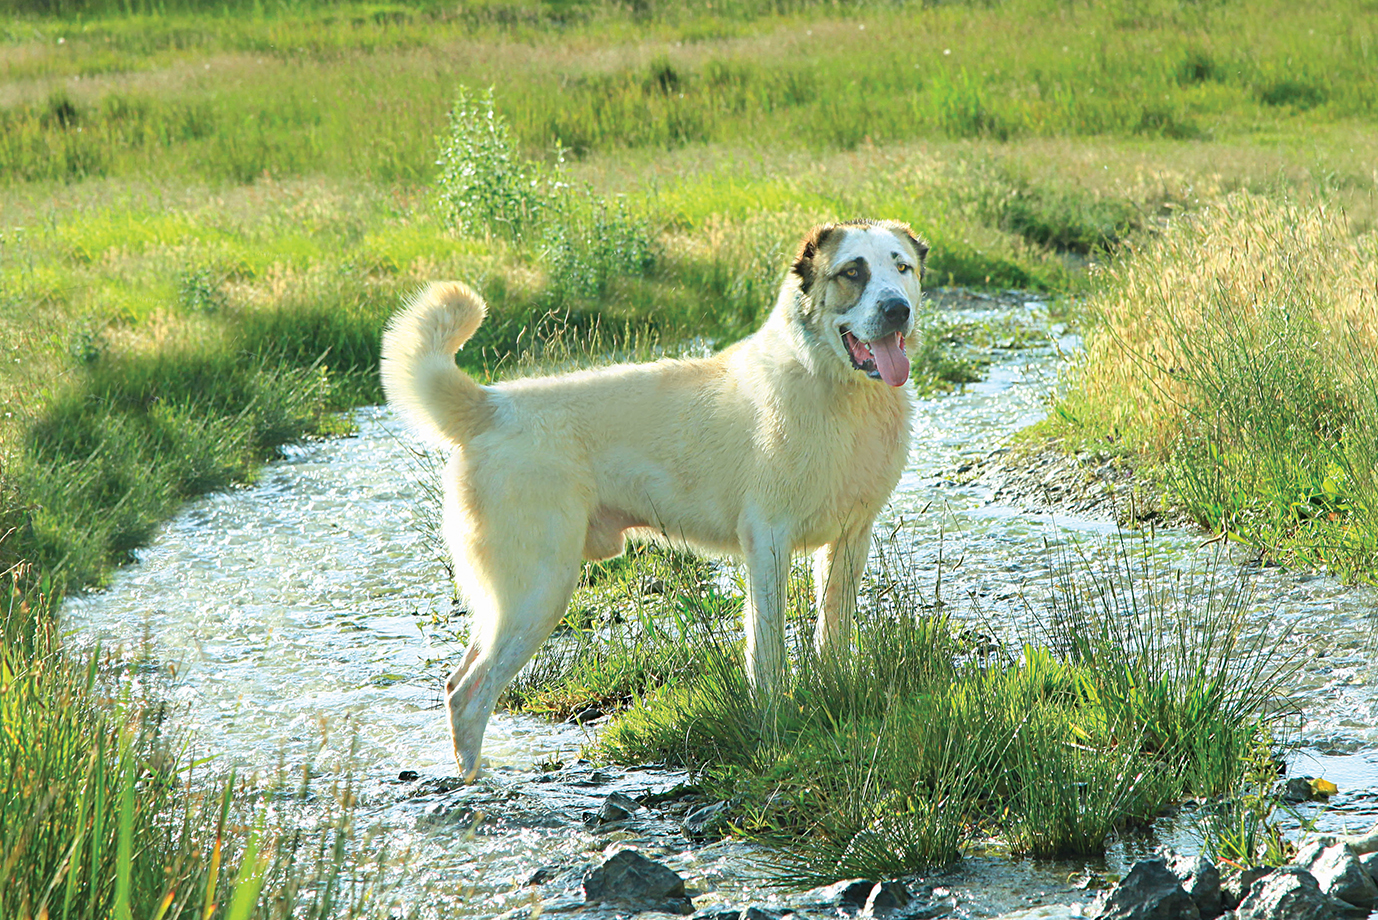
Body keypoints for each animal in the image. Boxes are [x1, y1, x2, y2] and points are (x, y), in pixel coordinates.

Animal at [383, 218, 931, 782]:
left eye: (902, 268)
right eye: (852, 273)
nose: (897, 309)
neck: (833, 386)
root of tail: (491, 406)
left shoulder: (848, 541)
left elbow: (833, 636)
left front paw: (833, 690)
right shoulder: (768, 545)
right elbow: (769, 652)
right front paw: (774, 727)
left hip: (509, 599)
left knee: (458, 682)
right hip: (537, 591)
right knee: (471, 692)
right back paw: (476, 782)